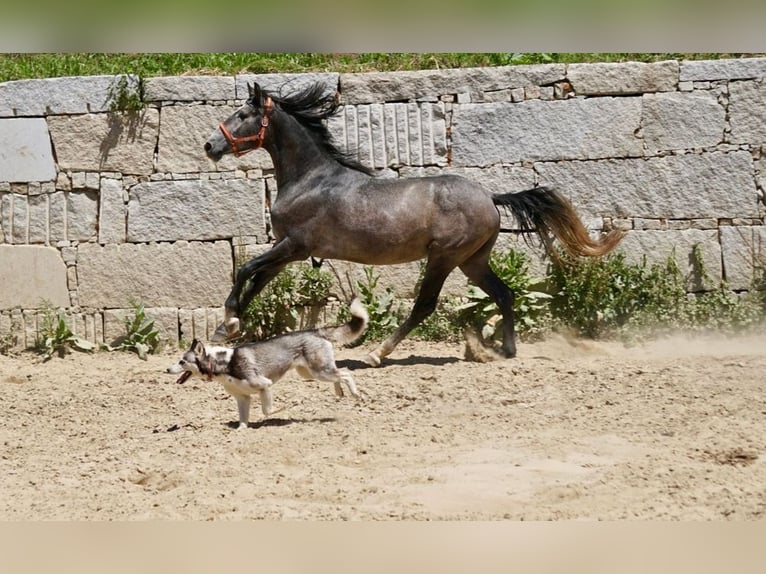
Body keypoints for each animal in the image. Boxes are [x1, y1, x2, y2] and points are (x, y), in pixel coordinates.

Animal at [167, 300, 368, 430]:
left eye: (182, 361)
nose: (167, 369)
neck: (222, 363)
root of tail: (316, 330)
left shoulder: (265, 385)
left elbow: (267, 410)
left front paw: (283, 409)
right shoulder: (243, 398)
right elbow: (243, 420)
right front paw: (240, 431)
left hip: (319, 371)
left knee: (346, 373)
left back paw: (356, 394)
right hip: (309, 373)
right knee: (338, 374)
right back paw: (339, 392)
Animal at [206, 82, 624, 364]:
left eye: (243, 115)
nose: (210, 146)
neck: (311, 180)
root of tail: (490, 197)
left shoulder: (295, 245)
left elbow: (245, 269)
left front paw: (227, 321)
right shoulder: (288, 253)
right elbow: (256, 282)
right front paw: (229, 327)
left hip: (444, 257)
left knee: (425, 305)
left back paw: (378, 352)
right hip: (472, 261)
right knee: (504, 294)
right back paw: (506, 349)